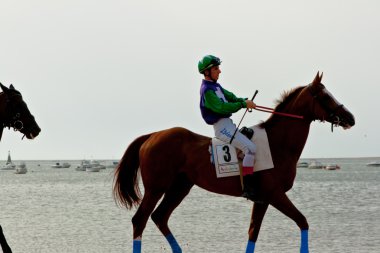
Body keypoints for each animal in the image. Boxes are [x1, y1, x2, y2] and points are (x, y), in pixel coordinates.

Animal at [113, 72, 356, 252]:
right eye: (325, 96)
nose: (350, 118)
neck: (277, 143)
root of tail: (152, 136)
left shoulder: (263, 199)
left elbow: (253, 233)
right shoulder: (275, 194)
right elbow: (302, 221)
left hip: (180, 187)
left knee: (159, 217)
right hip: (157, 187)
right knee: (140, 220)